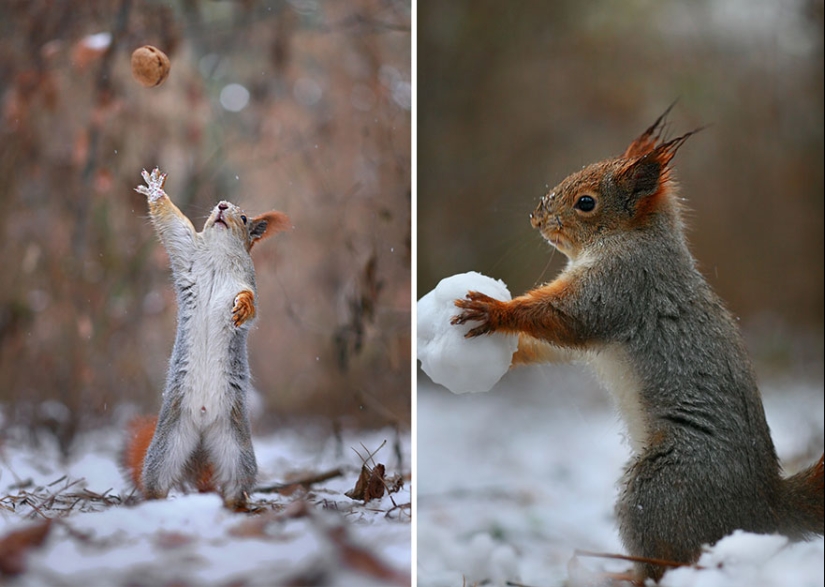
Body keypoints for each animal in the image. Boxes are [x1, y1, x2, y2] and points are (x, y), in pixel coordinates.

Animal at [122, 168, 289, 509]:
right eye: (217, 206)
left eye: (244, 216)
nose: (222, 206)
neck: (219, 254)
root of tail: (201, 427)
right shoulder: (186, 252)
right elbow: (173, 226)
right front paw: (156, 191)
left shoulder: (247, 282)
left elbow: (251, 304)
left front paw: (242, 308)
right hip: (168, 443)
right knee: (158, 480)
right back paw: (153, 503)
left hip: (235, 448)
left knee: (236, 483)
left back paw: (237, 506)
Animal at [452, 107, 824, 582]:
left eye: (586, 202)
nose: (536, 217)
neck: (634, 238)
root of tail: (765, 513)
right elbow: (557, 345)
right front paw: (509, 353)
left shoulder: (621, 287)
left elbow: (566, 319)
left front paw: (495, 311)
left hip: (662, 488)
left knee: (669, 561)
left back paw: (623, 575)